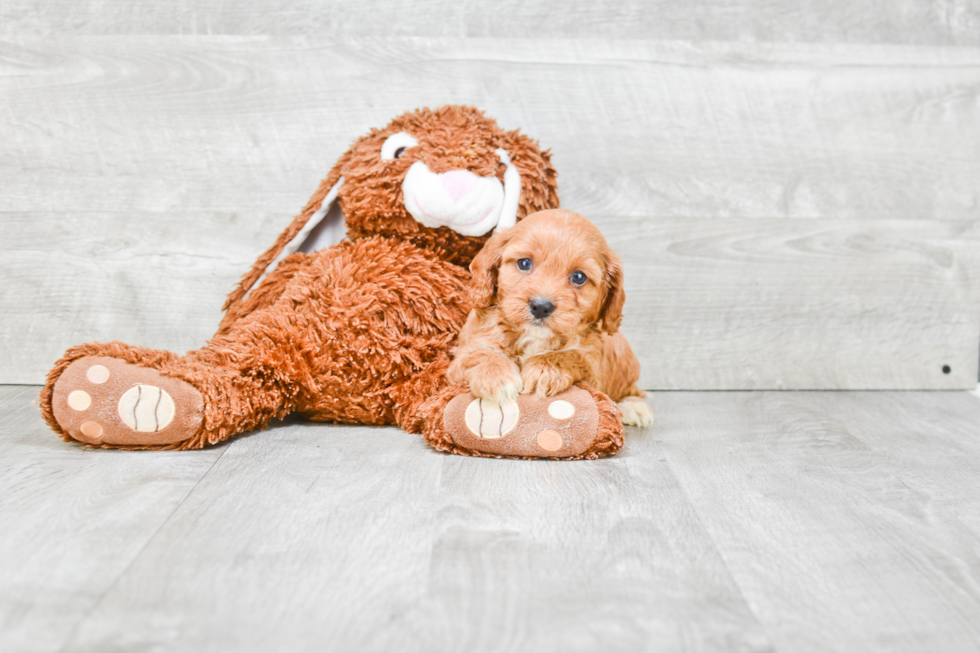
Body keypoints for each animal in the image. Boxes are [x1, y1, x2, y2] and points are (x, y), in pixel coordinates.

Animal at [450, 206, 652, 426]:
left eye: (579, 277)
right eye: (524, 263)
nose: (540, 306)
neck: (534, 337)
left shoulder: (593, 365)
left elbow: (573, 355)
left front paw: (543, 369)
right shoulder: (465, 352)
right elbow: (480, 353)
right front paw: (495, 376)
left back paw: (633, 405)